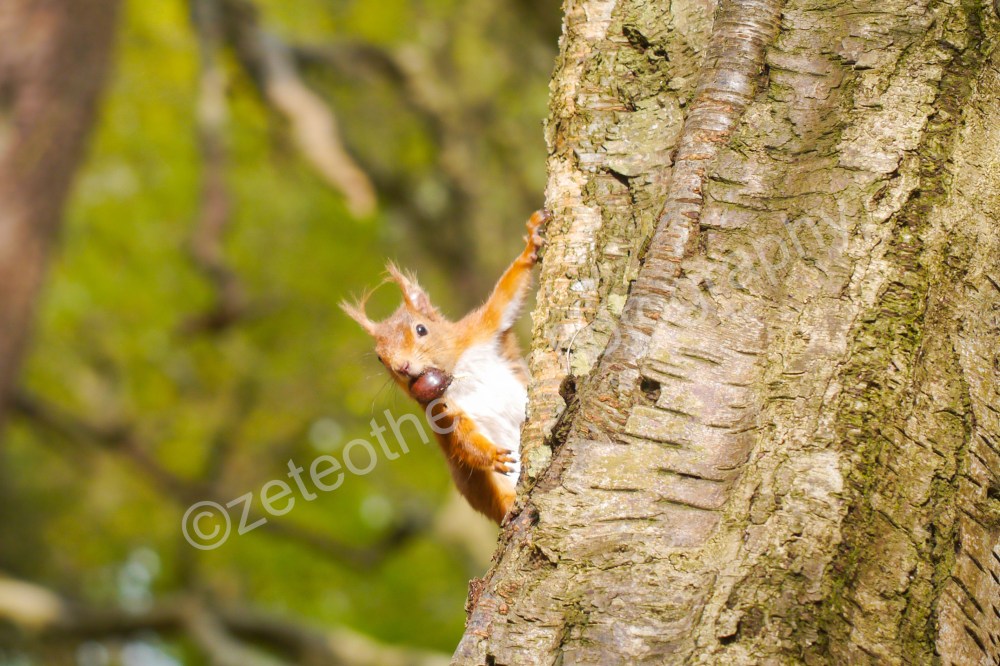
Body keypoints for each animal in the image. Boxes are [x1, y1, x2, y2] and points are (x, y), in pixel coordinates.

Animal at [341, 209, 549, 524]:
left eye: (421, 329)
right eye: (380, 358)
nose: (402, 366)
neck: (458, 371)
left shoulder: (482, 328)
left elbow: (505, 296)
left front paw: (530, 244)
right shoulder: (440, 409)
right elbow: (463, 439)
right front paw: (492, 455)